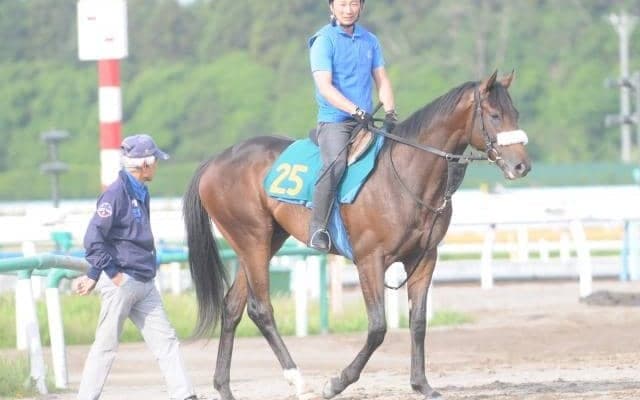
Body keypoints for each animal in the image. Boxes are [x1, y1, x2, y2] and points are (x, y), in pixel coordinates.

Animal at [183, 71, 531, 400]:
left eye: (515, 112)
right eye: (494, 114)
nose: (521, 166)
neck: (405, 176)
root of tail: (214, 161)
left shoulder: (423, 259)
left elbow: (418, 322)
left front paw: (422, 384)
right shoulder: (369, 260)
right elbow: (377, 327)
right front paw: (336, 383)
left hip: (263, 242)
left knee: (233, 307)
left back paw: (224, 387)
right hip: (252, 240)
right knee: (261, 309)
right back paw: (300, 382)